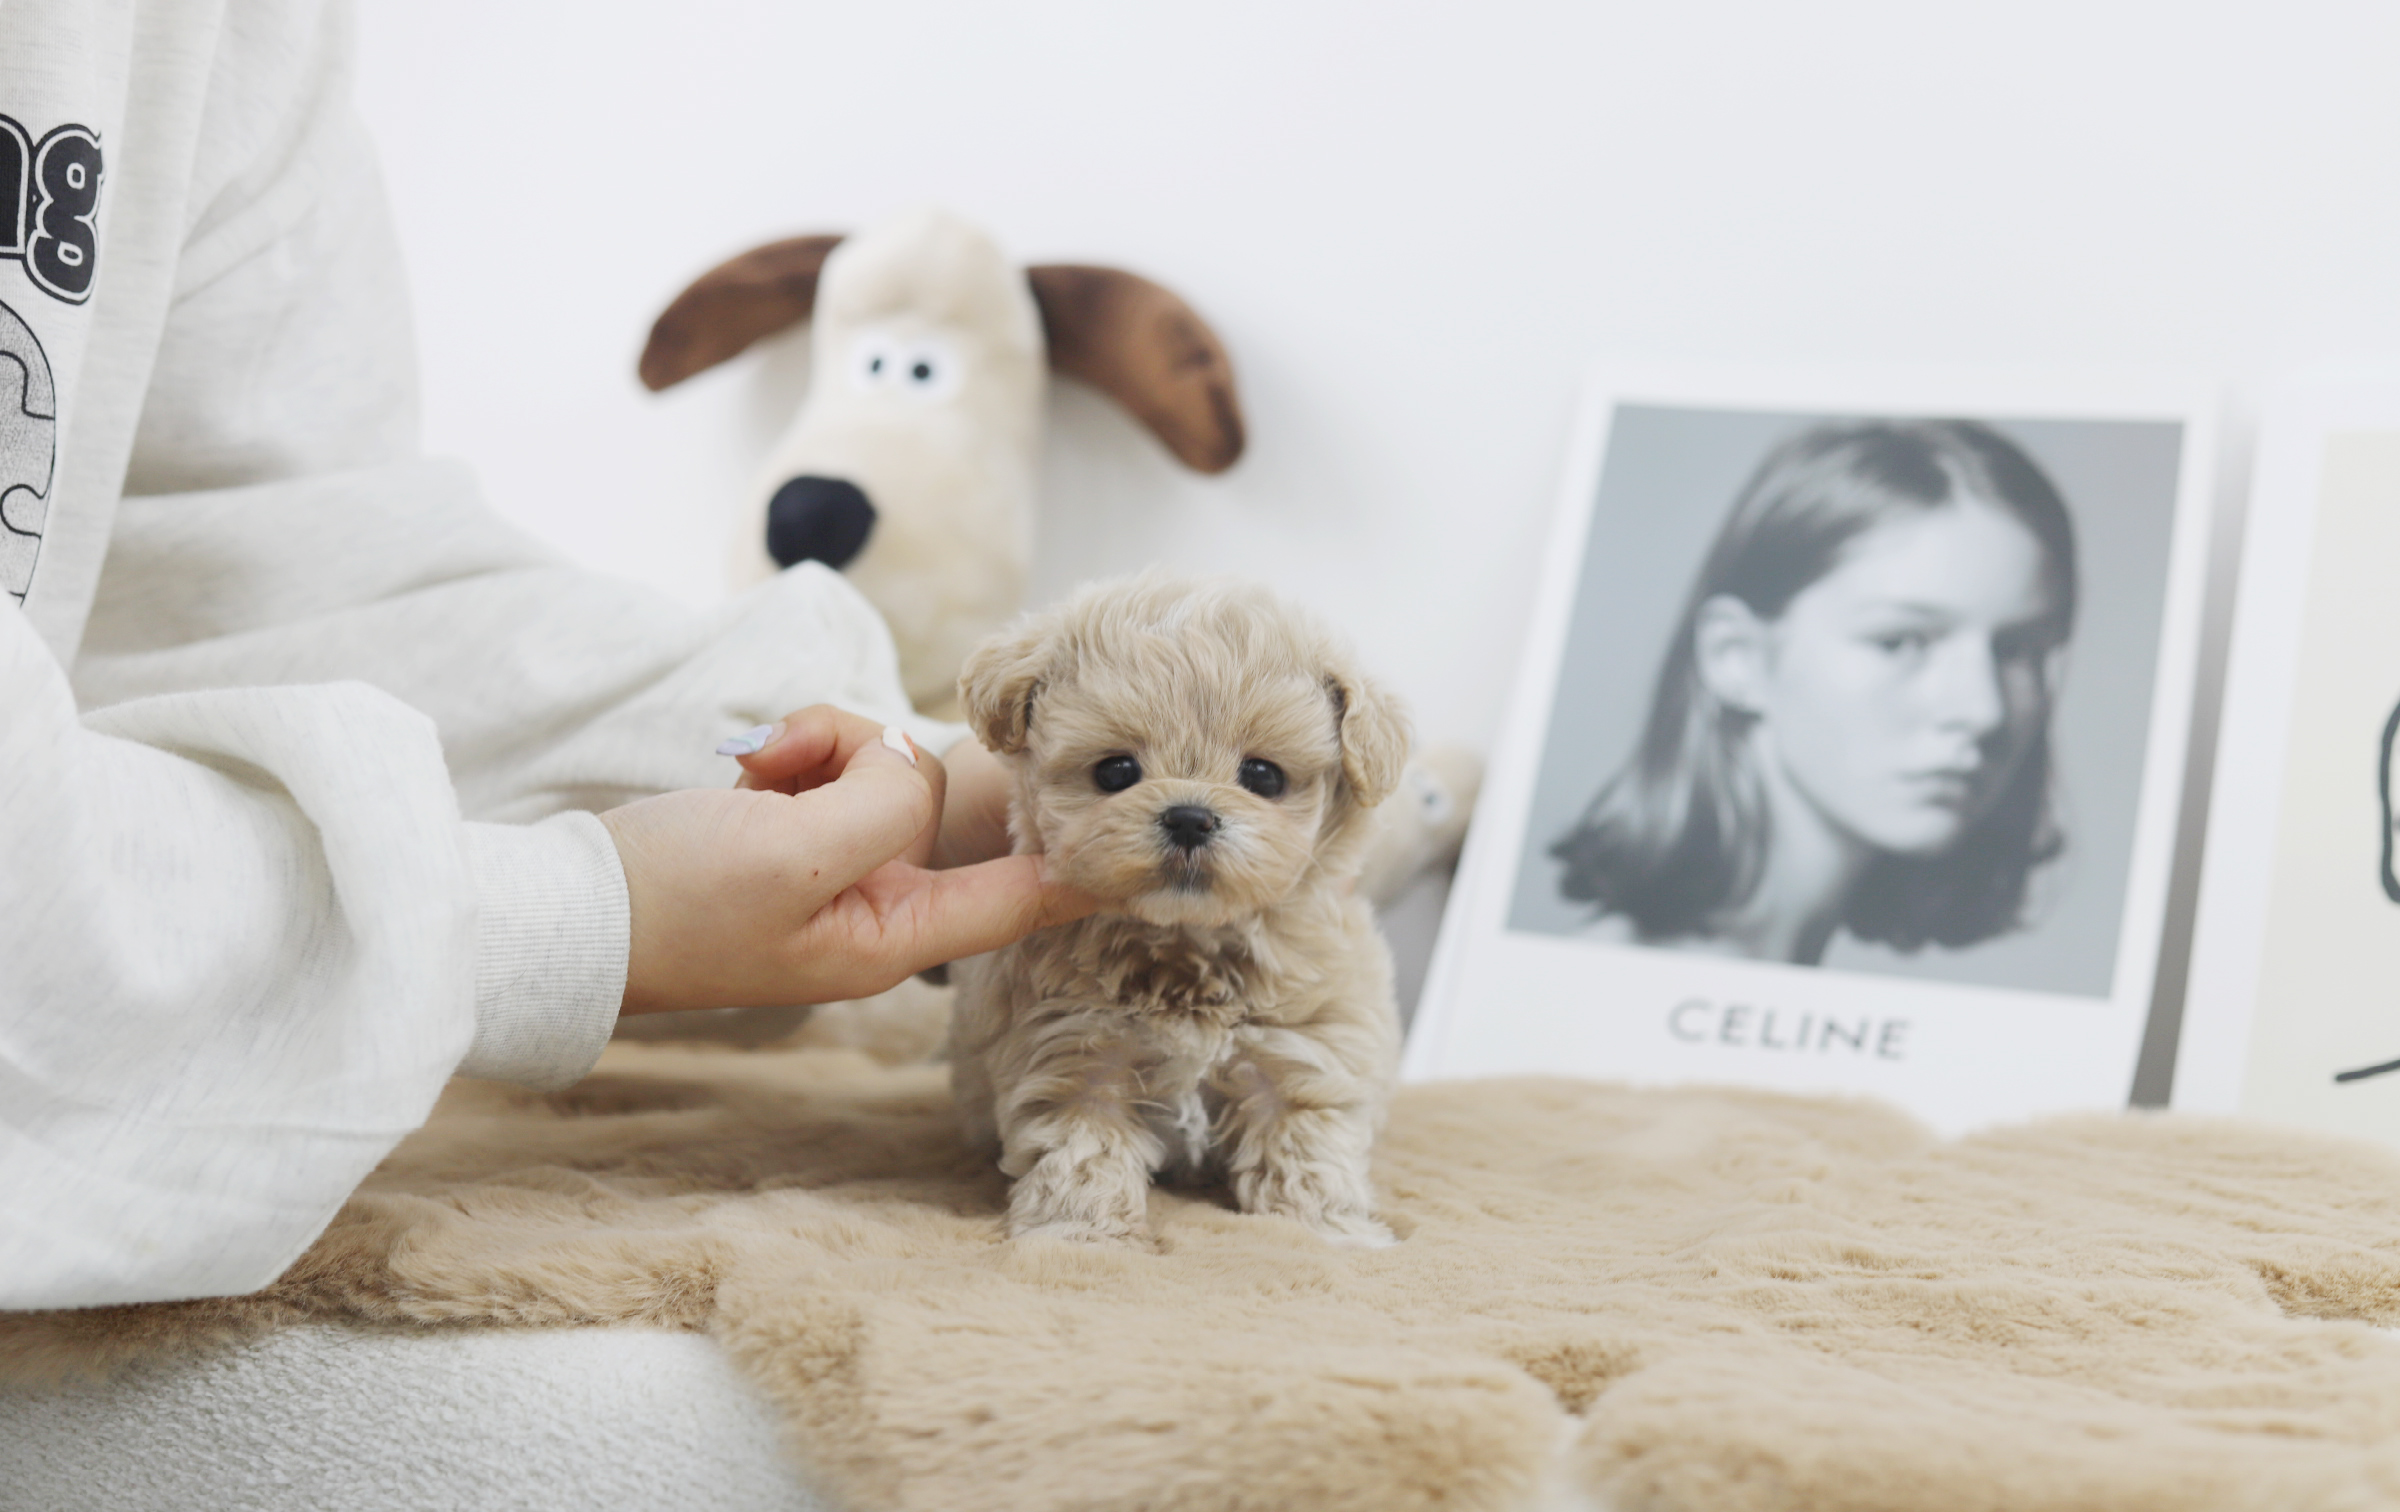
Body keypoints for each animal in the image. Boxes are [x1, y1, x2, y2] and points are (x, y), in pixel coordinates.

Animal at [950, 573, 1411, 1248]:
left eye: (1263, 777)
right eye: (1115, 770)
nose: (1190, 817)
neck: (1188, 946)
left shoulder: (1303, 1051)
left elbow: (1305, 1150)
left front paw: (1326, 1232)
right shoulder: (1075, 1050)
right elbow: (1082, 1152)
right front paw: (1078, 1236)